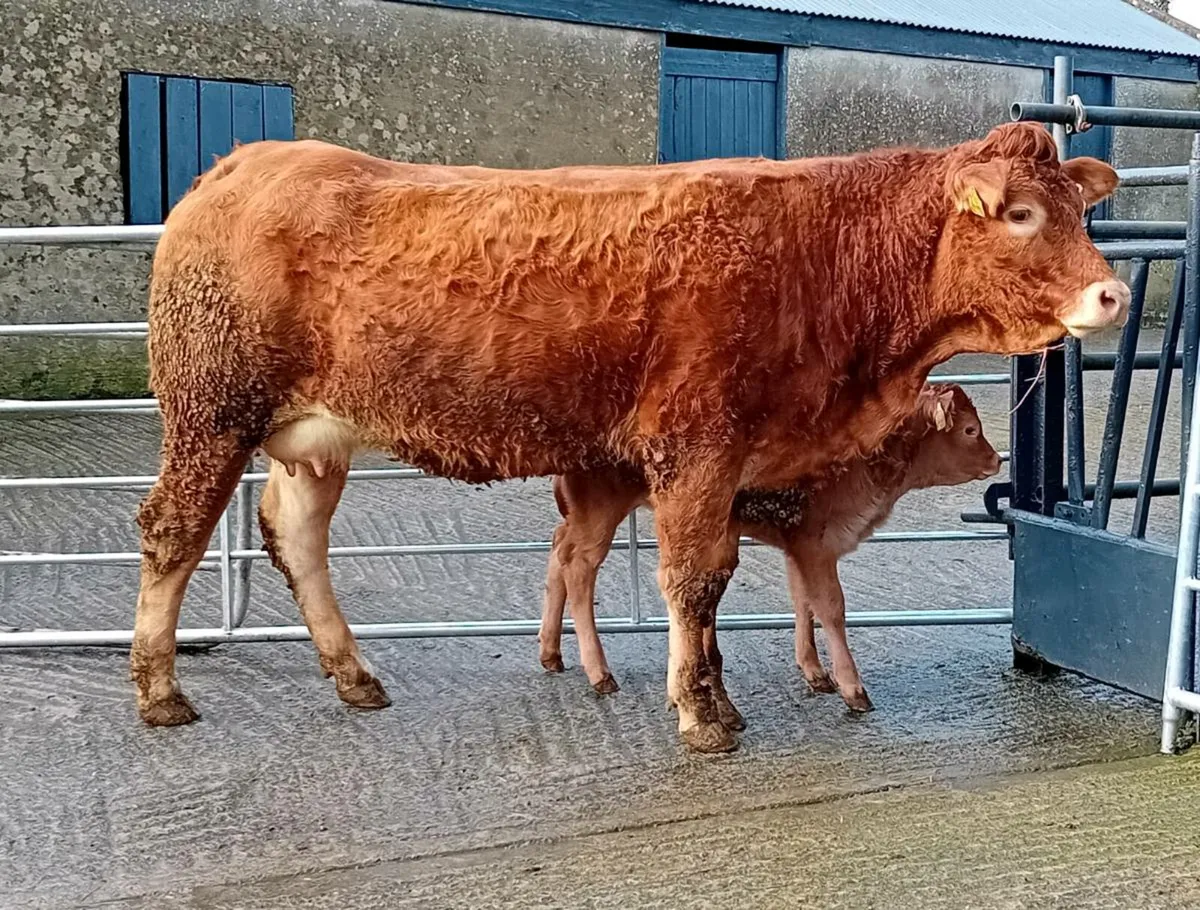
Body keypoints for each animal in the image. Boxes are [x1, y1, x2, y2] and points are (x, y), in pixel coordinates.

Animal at [538, 382, 1002, 718]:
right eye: (969, 430)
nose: (997, 460)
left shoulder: (797, 543)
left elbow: (802, 601)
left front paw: (814, 672)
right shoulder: (818, 544)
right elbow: (830, 607)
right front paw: (853, 688)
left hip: (583, 515)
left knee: (559, 550)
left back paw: (551, 651)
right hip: (600, 510)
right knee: (580, 566)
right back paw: (599, 672)